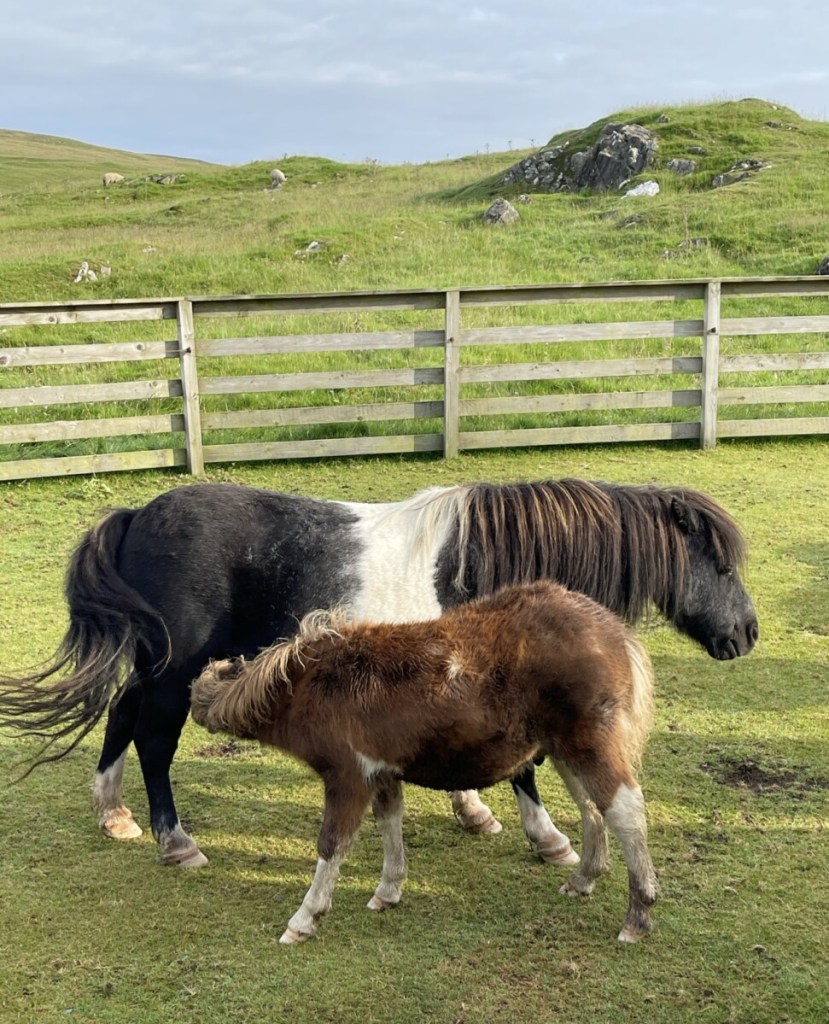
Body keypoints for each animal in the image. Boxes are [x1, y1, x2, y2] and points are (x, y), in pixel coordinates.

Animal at [0, 475, 757, 868]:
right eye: (719, 565)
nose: (747, 633)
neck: (482, 562)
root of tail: (136, 515)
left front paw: (474, 812)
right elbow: (522, 765)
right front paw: (546, 838)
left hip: (153, 667)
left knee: (121, 715)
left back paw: (113, 812)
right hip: (174, 671)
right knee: (154, 740)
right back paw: (174, 840)